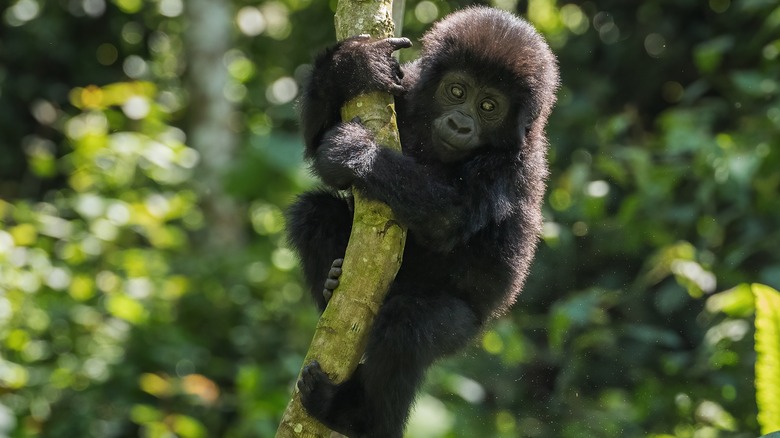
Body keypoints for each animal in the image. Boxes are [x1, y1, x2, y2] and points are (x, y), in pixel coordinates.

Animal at [284, 6, 556, 438]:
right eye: (457, 92)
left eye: (489, 106)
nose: (460, 125)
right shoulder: (407, 89)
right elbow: (317, 143)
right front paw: (352, 66)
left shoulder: (511, 165)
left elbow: (449, 218)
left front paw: (357, 153)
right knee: (313, 213)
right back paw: (331, 282)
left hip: (466, 329)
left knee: (408, 325)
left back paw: (355, 416)